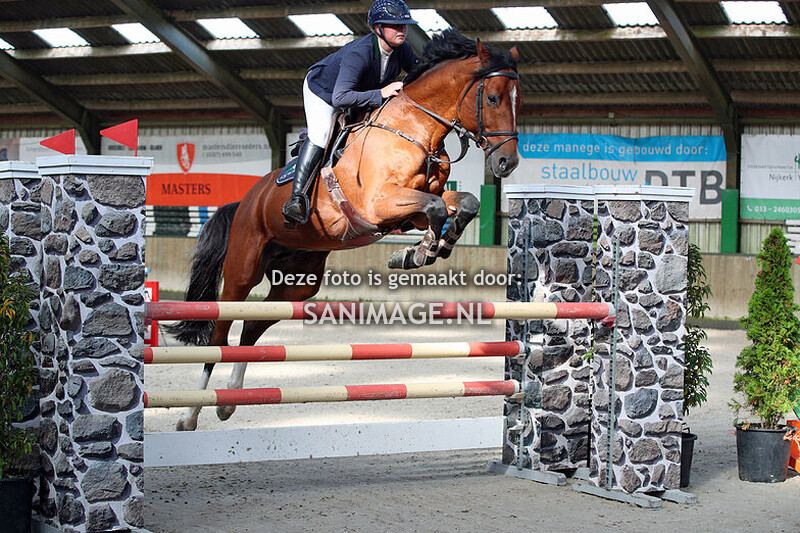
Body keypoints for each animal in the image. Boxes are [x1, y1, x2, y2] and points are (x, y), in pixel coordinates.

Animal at [167, 30, 522, 431]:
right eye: (492, 97)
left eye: (518, 99)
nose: (507, 162)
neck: (415, 129)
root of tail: (245, 201)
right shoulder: (379, 204)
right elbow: (434, 208)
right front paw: (418, 252)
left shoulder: (410, 210)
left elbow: (463, 204)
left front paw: (428, 248)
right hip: (243, 270)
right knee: (219, 333)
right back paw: (191, 414)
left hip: (297, 283)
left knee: (252, 327)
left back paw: (228, 402)